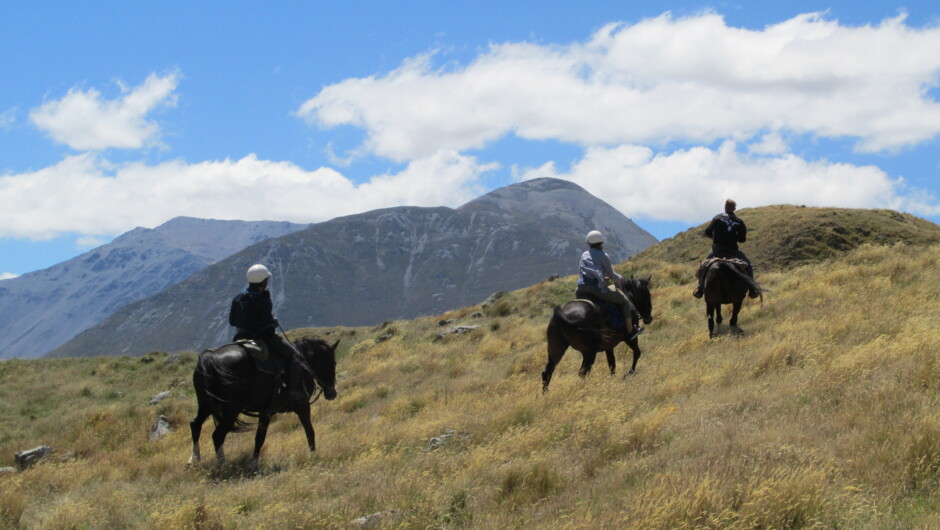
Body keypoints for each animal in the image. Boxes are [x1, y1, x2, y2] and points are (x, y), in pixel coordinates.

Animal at [189, 334, 340, 466]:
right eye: (333, 363)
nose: (332, 393)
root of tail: (209, 357)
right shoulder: (301, 406)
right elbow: (309, 431)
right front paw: (313, 456)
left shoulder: (265, 411)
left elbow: (259, 437)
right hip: (230, 410)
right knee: (218, 435)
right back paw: (221, 464)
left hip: (205, 404)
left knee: (195, 424)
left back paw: (194, 460)